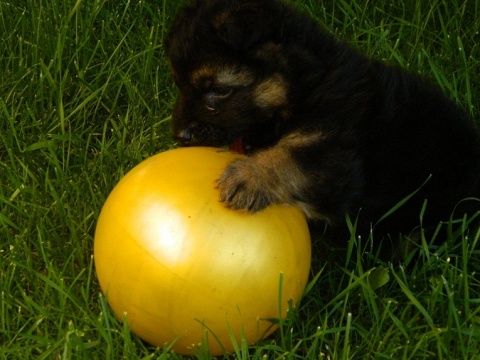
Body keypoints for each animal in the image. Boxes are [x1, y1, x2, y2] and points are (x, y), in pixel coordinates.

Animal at [165, 0, 480, 255]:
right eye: (178, 84)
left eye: (219, 91)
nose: (180, 135)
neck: (307, 83)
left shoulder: (336, 152)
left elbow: (292, 155)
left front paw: (250, 175)